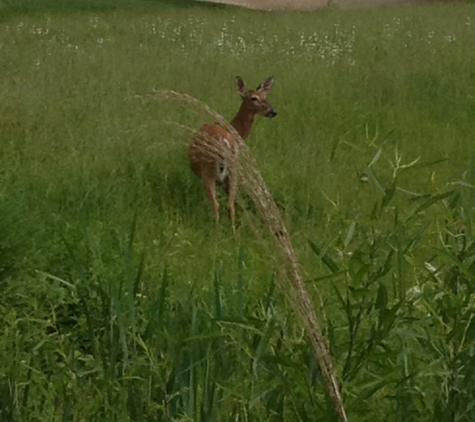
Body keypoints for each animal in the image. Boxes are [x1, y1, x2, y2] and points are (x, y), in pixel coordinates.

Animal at [188, 75, 278, 227]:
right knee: (229, 204)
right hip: (231, 169)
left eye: (265, 96)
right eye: (253, 98)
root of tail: (222, 140)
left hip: (211, 170)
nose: (272, 112)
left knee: (217, 204)